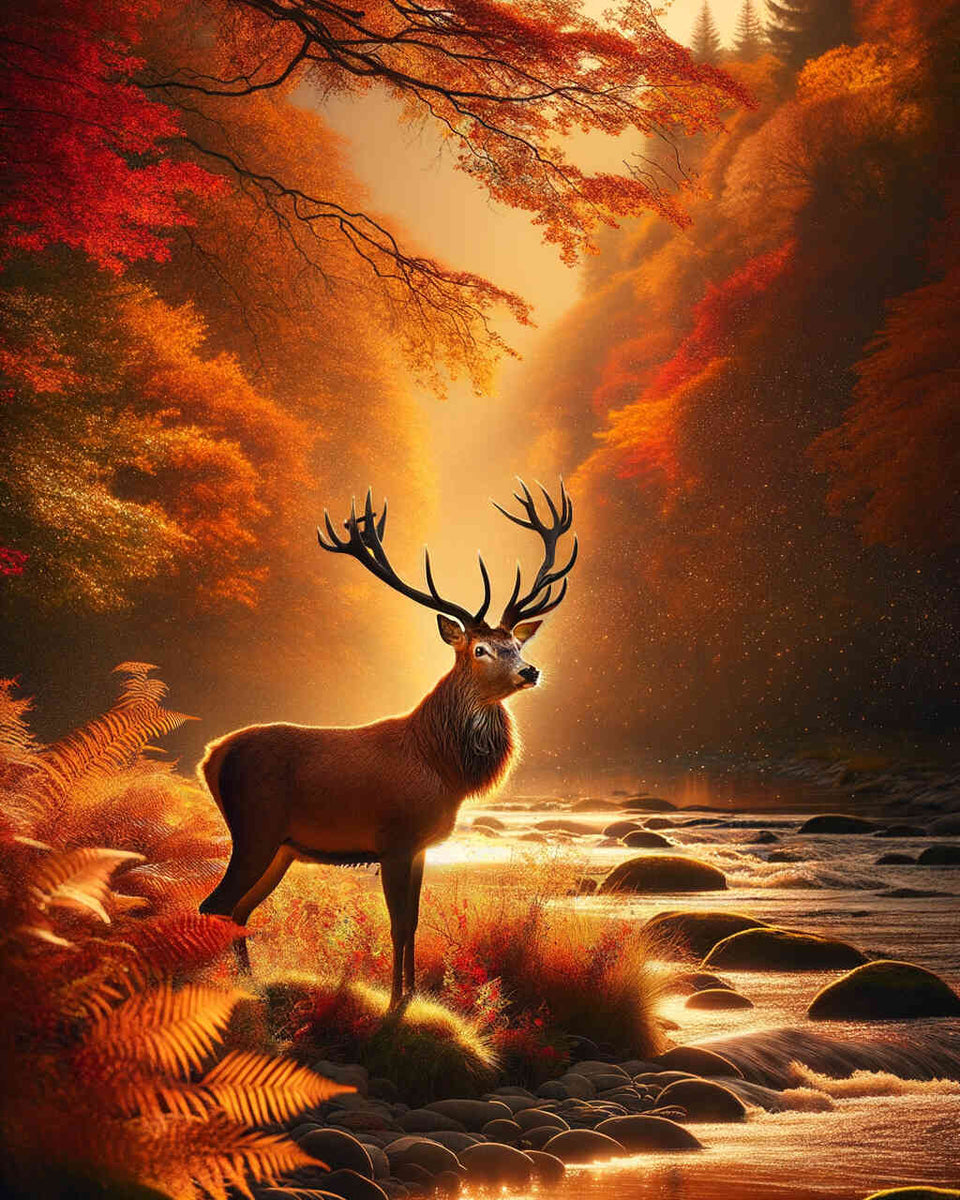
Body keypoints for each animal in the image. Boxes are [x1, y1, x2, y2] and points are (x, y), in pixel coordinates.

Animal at [197, 481, 578, 1008]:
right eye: (480, 649)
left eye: (517, 645)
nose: (530, 671)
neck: (441, 768)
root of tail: (211, 757)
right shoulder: (394, 838)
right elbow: (397, 925)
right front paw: (396, 1001)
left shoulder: (420, 846)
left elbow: (413, 924)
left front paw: (413, 996)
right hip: (255, 828)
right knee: (213, 903)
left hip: (280, 848)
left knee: (237, 911)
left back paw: (248, 984)